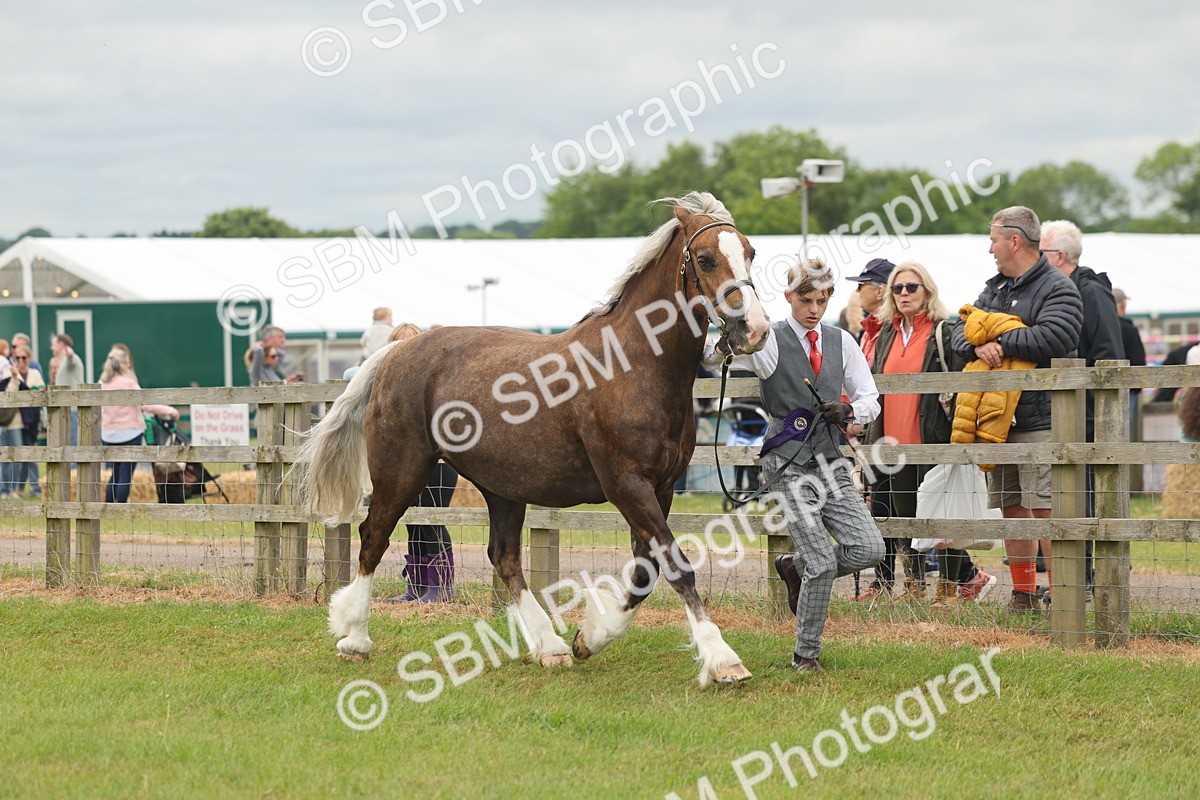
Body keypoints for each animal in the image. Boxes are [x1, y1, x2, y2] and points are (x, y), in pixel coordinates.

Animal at [296, 191, 771, 685]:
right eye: (706, 258)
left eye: (751, 253)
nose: (755, 330)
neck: (632, 366)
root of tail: (397, 350)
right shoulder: (627, 486)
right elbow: (676, 567)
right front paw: (722, 659)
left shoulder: (660, 489)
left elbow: (645, 573)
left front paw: (589, 638)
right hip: (401, 473)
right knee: (373, 538)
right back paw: (355, 639)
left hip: (502, 488)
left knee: (503, 557)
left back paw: (550, 646)